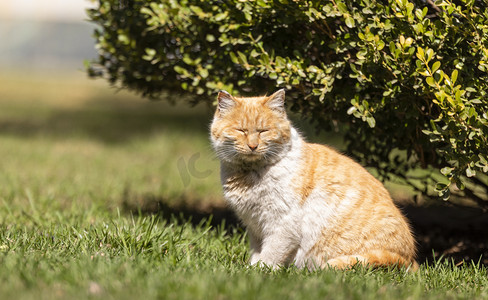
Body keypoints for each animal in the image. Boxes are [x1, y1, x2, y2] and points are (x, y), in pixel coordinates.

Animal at [208, 89, 418, 270]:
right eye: (241, 130)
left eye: (263, 131)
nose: (253, 146)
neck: (250, 174)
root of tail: (409, 259)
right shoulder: (254, 228)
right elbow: (257, 253)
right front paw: (251, 268)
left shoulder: (282, 224)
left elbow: (270, 255)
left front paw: (258, 271)